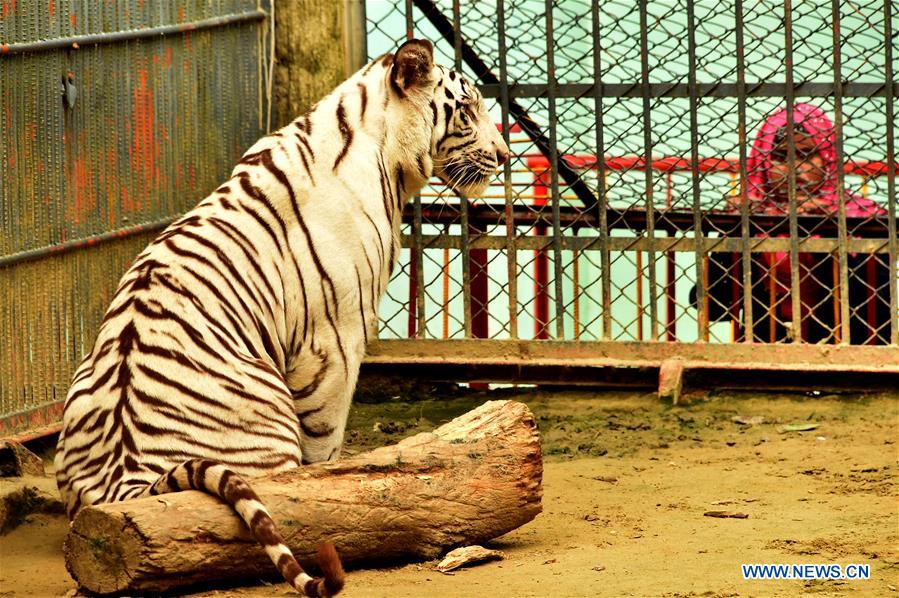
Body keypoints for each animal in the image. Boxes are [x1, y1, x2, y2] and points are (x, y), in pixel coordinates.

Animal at [54, 38, 509, 596]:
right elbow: (326, 436)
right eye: (467, 109)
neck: (378, 145)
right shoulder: (336, 335)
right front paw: (334, 489)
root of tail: (124, 482)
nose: (505, 155)